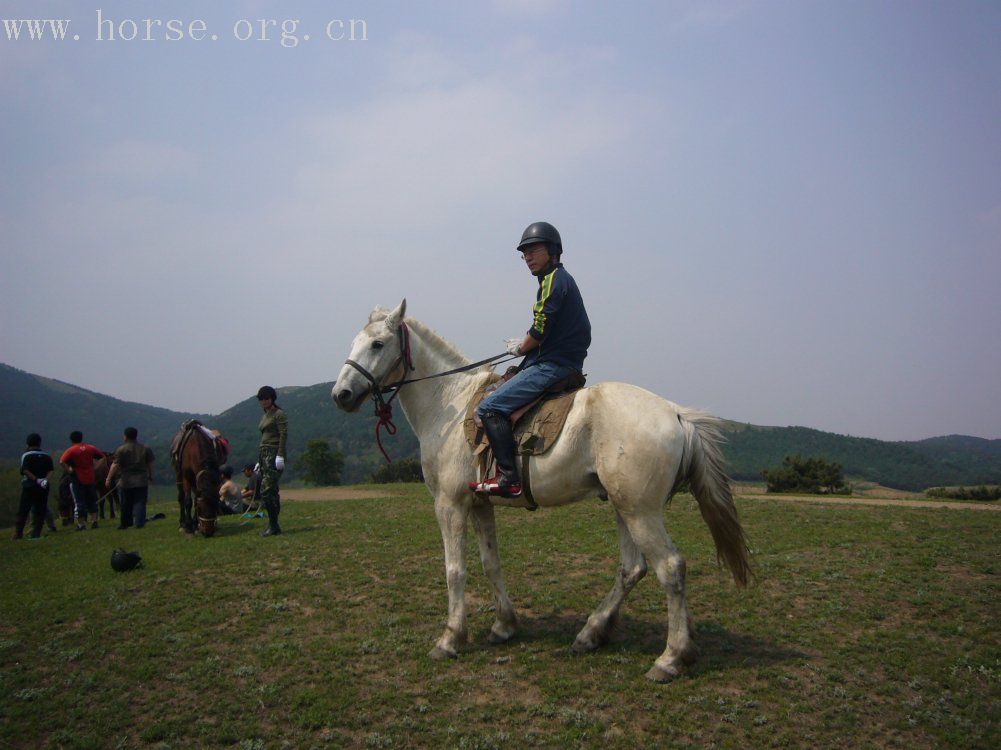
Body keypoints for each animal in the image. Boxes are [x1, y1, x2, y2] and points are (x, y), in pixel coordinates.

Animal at [332, 300, 748, 680]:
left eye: (378, 344)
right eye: (354, 342)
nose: (341, 394)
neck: (448, 402)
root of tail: (677, 413)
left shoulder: (450, 504)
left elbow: (455, 570)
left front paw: (450, 639)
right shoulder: (480, 503)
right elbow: (490, 563)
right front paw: (504, 626)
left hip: (641, 512)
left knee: (670, 568)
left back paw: (670, 657)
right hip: (624, 507)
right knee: (632, 569)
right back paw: (595, 633)